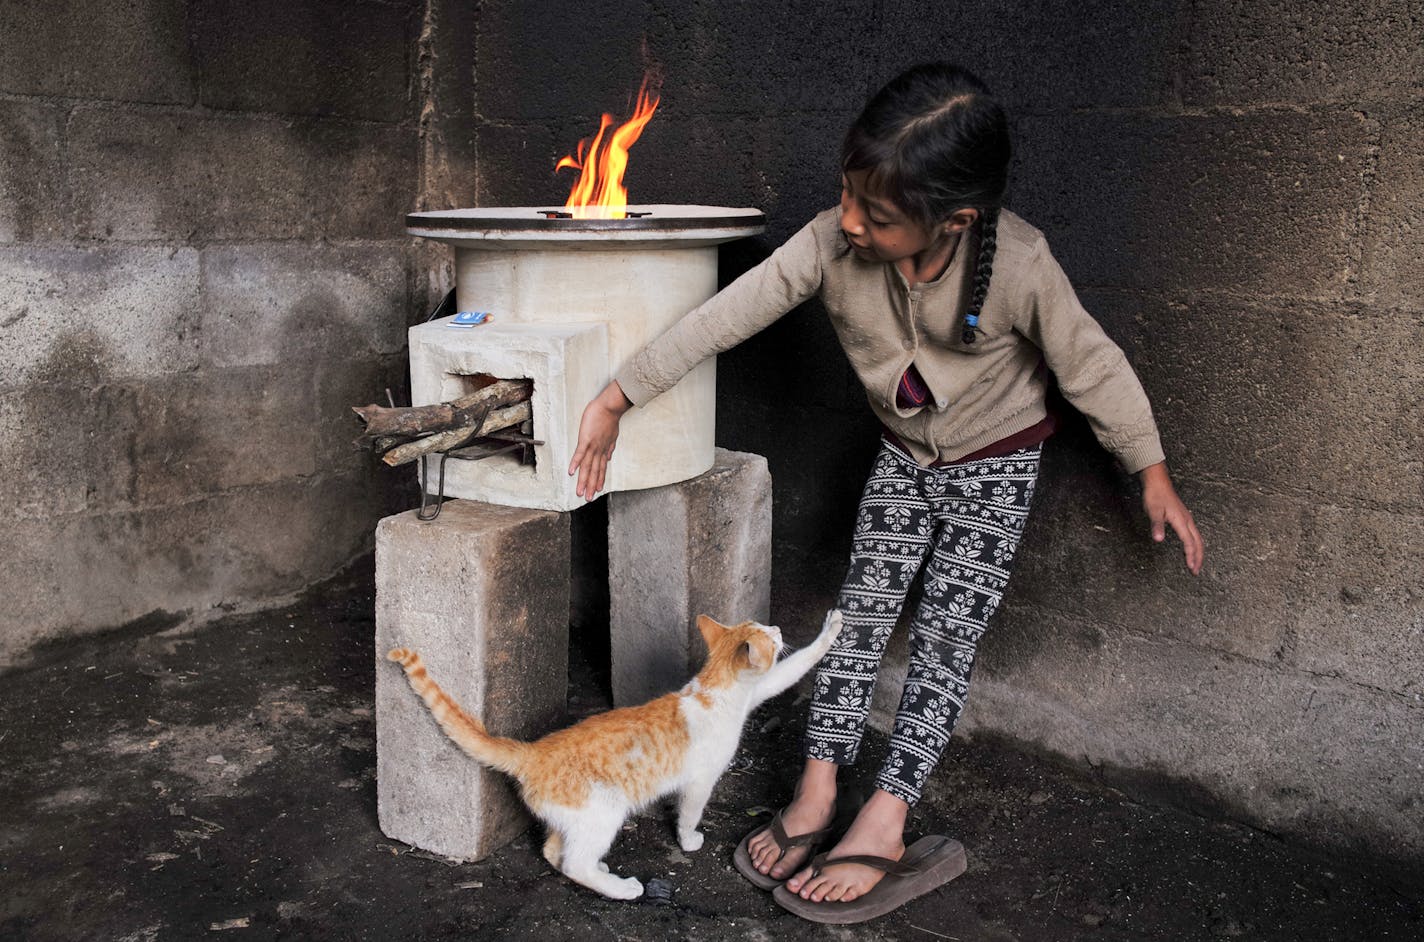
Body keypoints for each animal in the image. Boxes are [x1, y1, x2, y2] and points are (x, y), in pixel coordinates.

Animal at [384, 611, 837, 899]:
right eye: (770, 636)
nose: (778, 626)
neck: (714, 689)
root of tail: (533, 752)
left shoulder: (756, 693)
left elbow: (788, 671)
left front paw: (832, 628)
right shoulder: (700, 781)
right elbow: (689, 813)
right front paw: (689, 840)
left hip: (575, 819)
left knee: (556, 852)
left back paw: (600, 871)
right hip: (605, 811)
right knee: (573, 864)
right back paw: (623, 888)